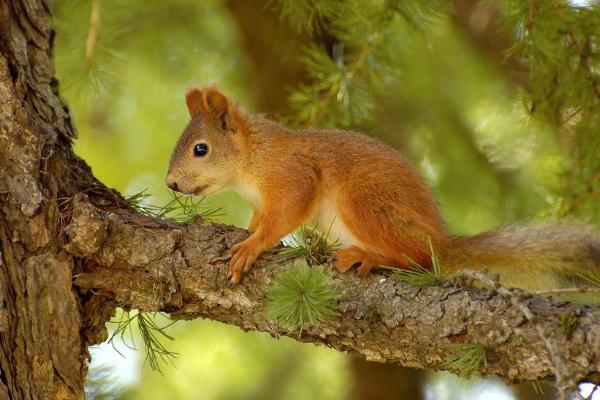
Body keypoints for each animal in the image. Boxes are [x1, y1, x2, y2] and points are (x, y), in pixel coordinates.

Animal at [166, 86, 600, 290]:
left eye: (200, 149)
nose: (170, 183)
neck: (252, 161)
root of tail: (439, 241)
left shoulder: (293, 175)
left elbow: (285, 216)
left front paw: (251, 247)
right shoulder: (261, 200)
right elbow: (261, 219)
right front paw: (249, 232)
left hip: (363, 203)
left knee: (417, 261)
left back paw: (370, 257)